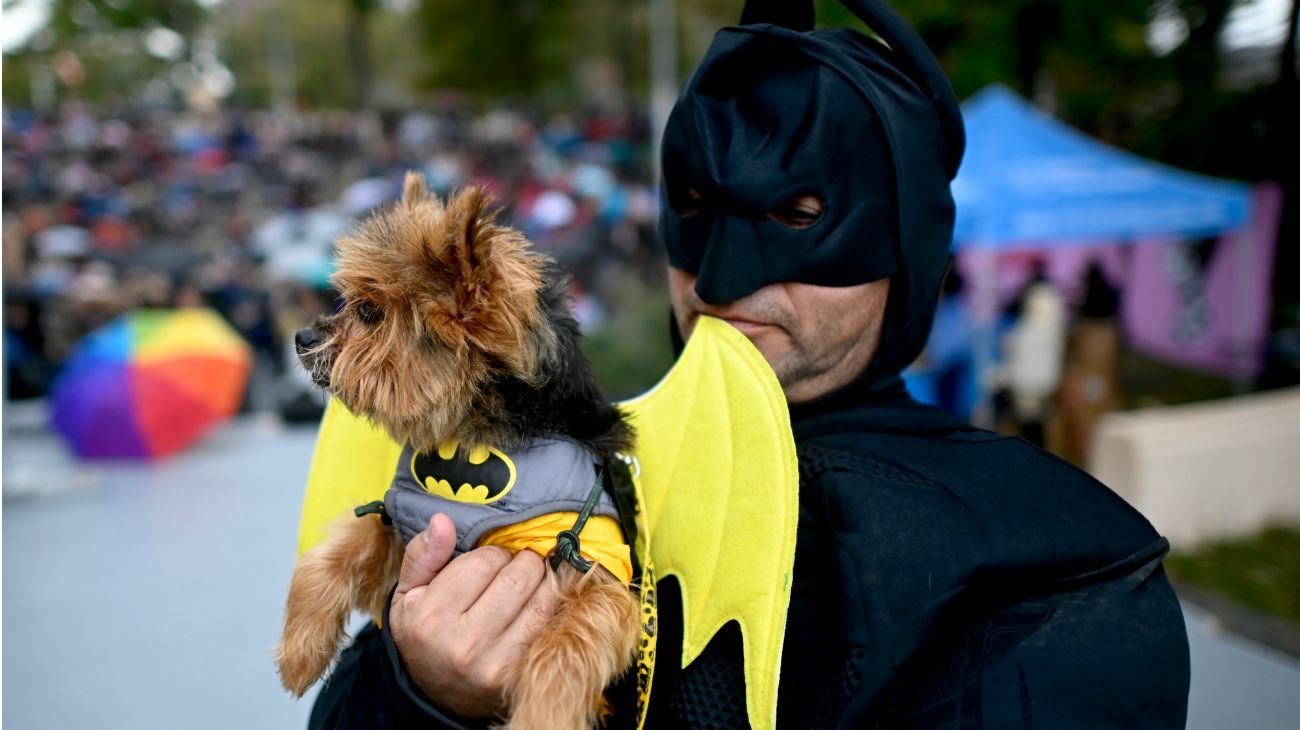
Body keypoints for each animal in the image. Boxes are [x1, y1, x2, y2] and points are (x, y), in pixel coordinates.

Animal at [274, 171, 639, 727]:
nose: (300, 335)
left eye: (369, 311)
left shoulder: (596, 572)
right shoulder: (402, 531)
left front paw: (542, 716)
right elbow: (340, 547)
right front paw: (300, 650)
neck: (472, 433)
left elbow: (567, 646)